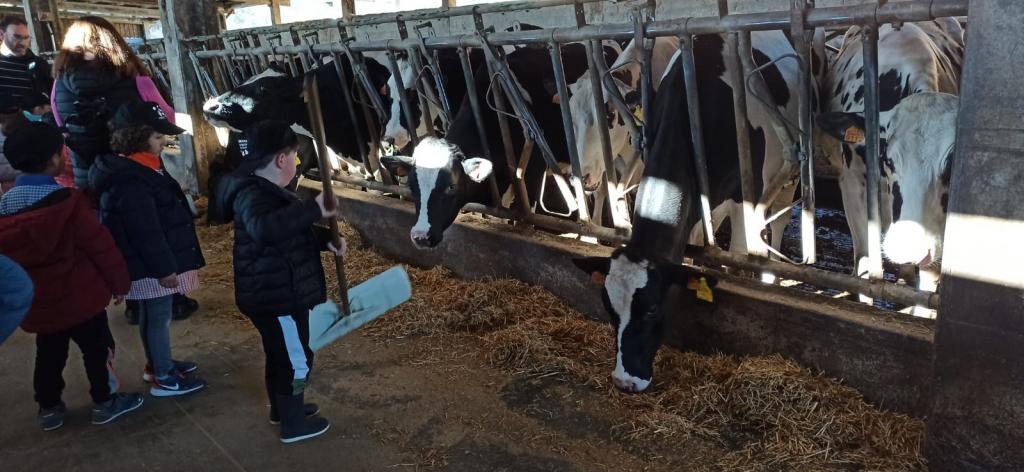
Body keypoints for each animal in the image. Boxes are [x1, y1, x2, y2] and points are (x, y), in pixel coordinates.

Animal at [572, 30, 801, 393]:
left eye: (652, 308)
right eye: (609, 307)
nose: (624, 381)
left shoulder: (743, 196)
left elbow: (737, 252)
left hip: (785, 178)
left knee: (776, 221)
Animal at [815, 19, 964, 307]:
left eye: (951, 165)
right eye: (887, 159)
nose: (908, 246)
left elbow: (928, 285)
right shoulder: (852, 182)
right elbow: (865, 268)